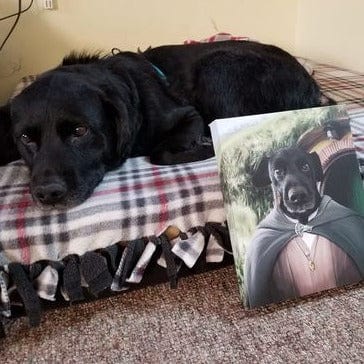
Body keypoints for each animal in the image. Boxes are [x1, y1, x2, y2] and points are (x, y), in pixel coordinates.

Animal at [2, 39, 330, 208]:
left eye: (80, 131)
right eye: (25, 139)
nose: (48, 194)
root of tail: (312, 87)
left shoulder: (190, 115)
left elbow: (159, 153)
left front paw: (202, 148)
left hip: (216, 67)